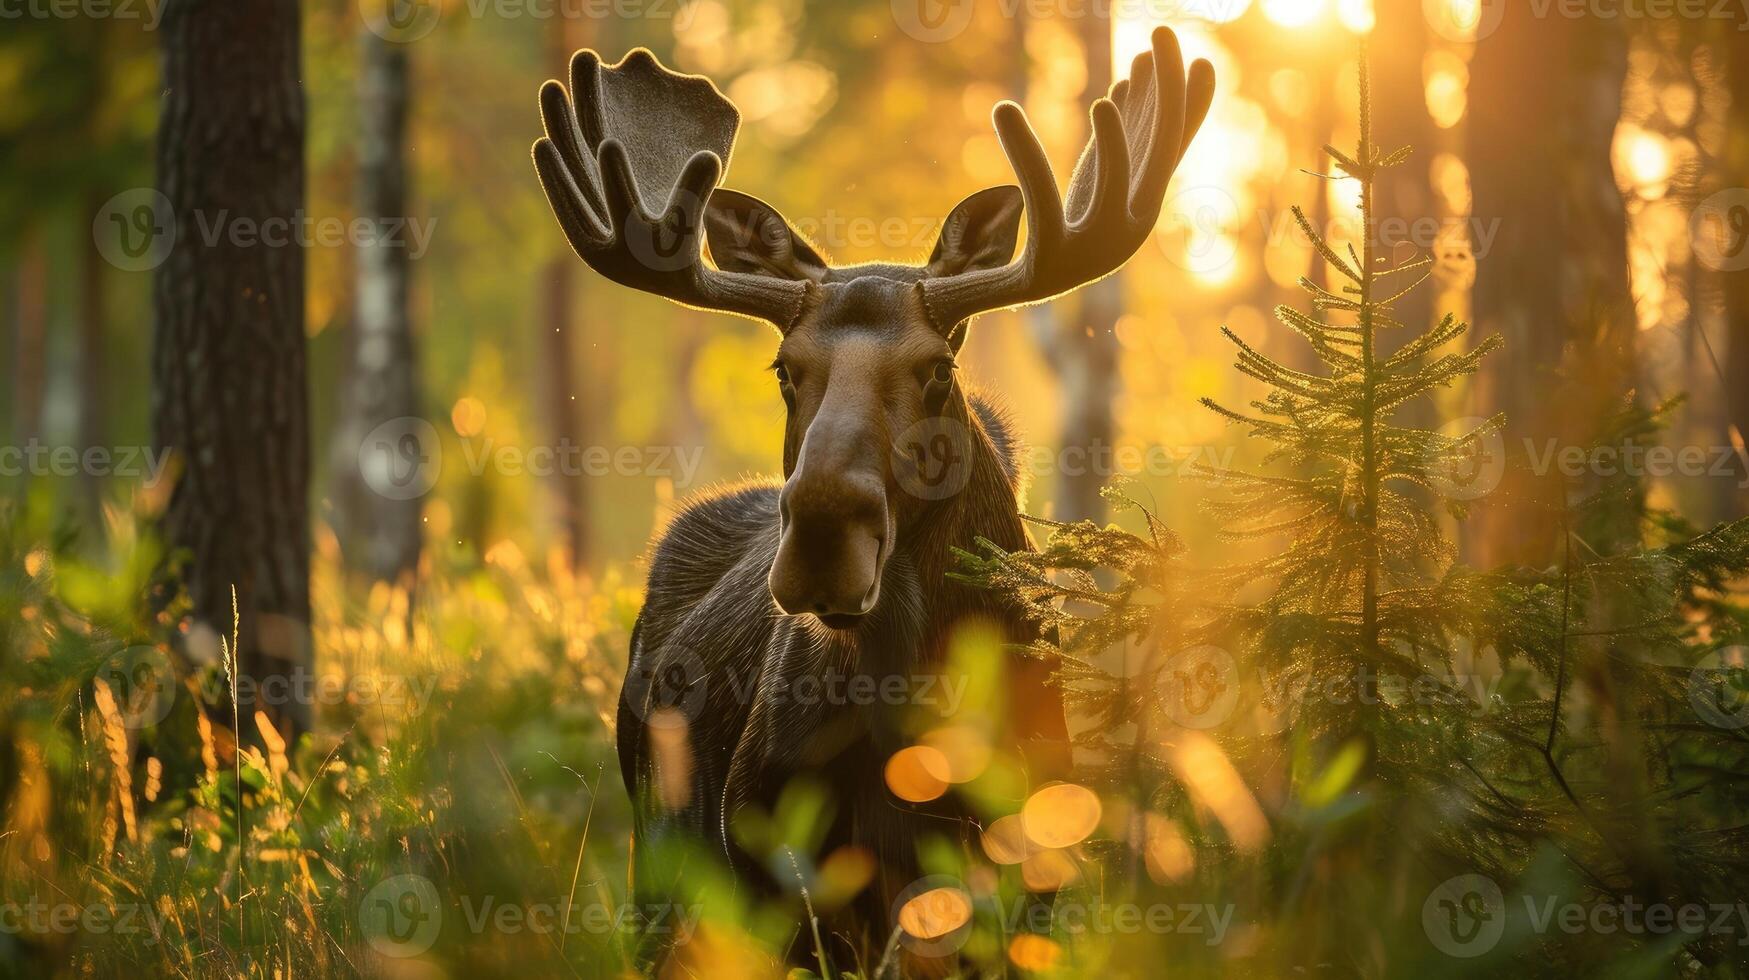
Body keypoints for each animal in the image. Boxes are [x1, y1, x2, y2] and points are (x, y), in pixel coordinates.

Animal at [531, 26, 1217, 966]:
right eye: (785, 369)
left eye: (936, 369)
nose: (823, 535)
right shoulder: (782, 881)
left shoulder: (1025, 880)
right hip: (657, 862)